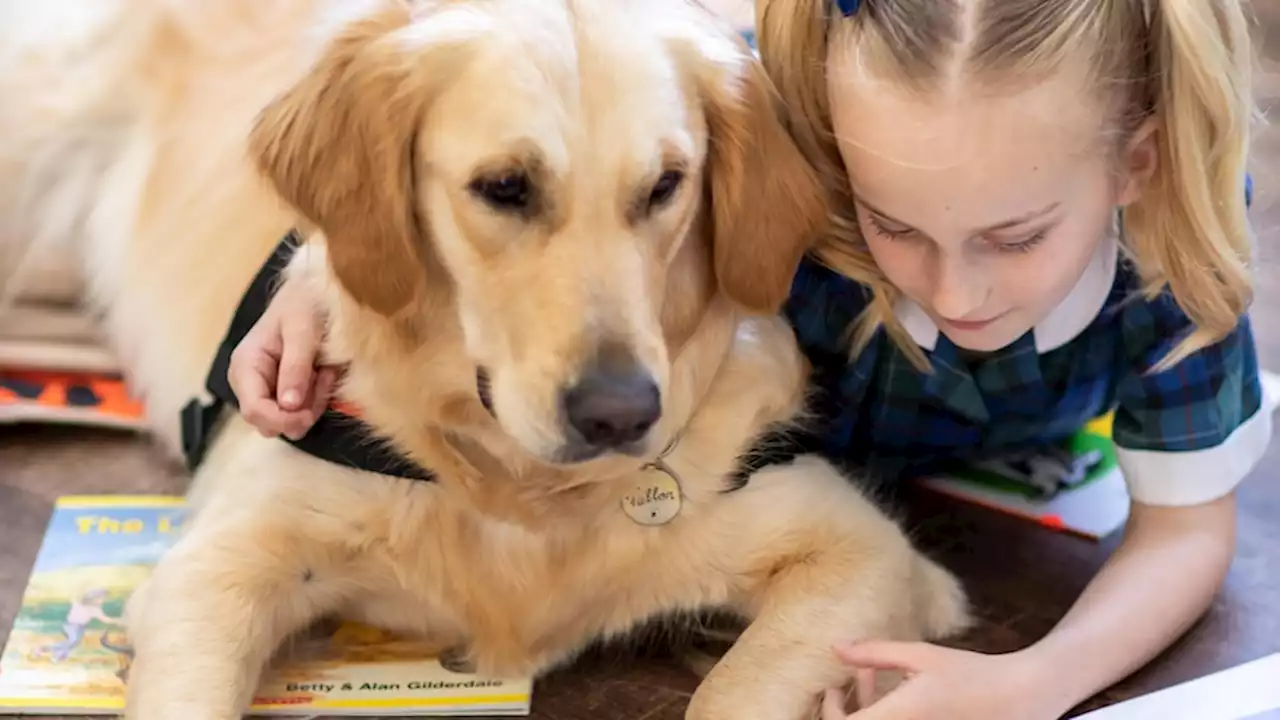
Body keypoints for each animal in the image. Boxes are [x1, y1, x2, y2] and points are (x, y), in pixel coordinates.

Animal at [0, 0, 962, 712]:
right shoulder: (212, 571)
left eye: (665, 186)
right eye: (505, 188)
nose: (621, 414)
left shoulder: (870, 554)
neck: (519, 494)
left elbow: (738, 689)